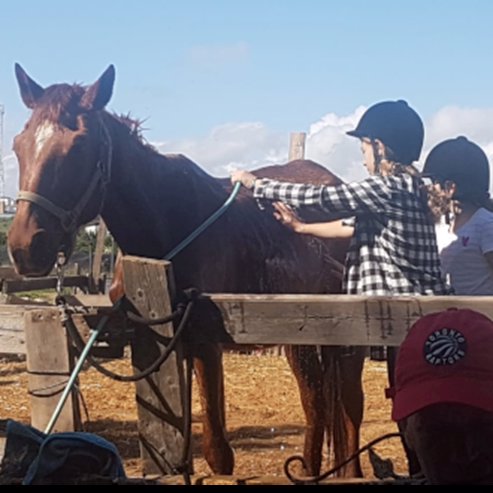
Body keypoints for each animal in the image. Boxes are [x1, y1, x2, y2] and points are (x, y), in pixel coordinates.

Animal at [5, 64, 364, 476]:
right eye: (18, 144)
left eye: (77, 147)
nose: (25, 247)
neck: (167, 226)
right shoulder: (153, 338)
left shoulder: (205, 342)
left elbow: (218, 453)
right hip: (299, 336)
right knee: (315, 402)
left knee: (349, 408)